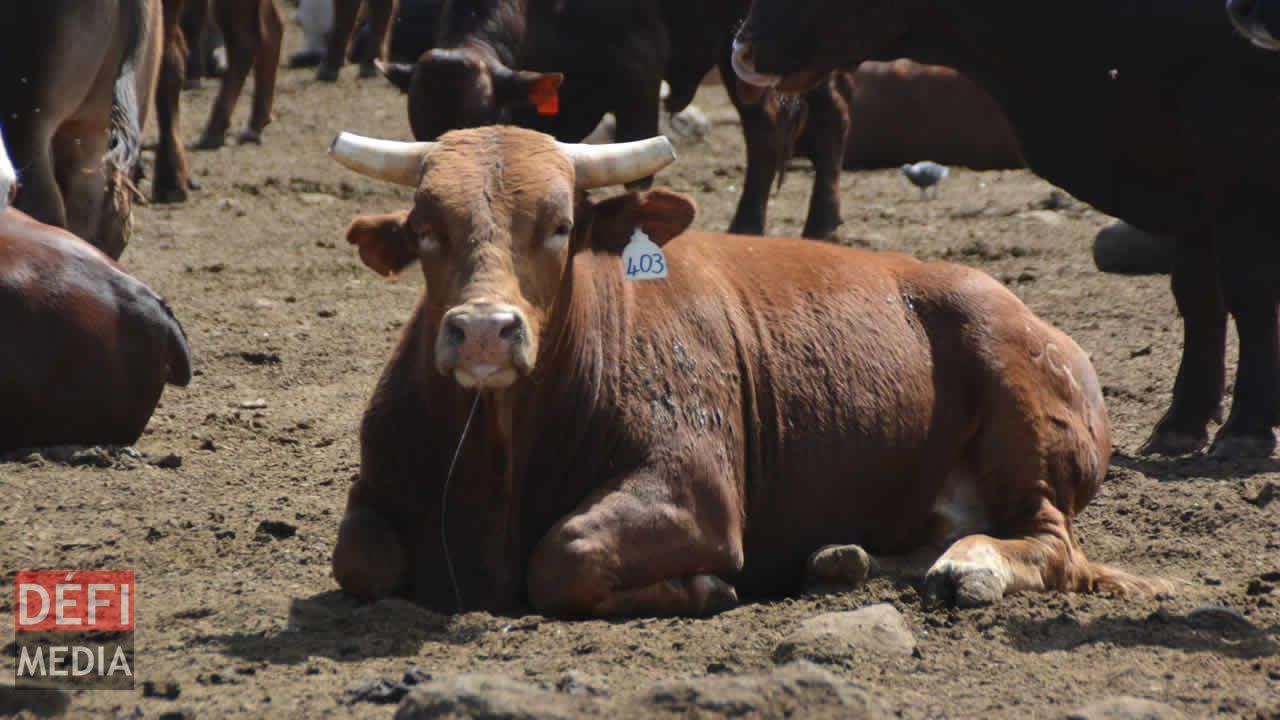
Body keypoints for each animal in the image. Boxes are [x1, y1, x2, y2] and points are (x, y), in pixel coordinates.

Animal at [322, 126, 1162, 614]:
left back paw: (969, 566)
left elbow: (565, 555)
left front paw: (705, 586)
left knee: (1051, 543)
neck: (498, 453)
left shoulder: (695, 493)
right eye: (426, 229)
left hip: (1027, 427)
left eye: (560, 225)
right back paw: (844, 559)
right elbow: (359, 559)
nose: (485, 334)